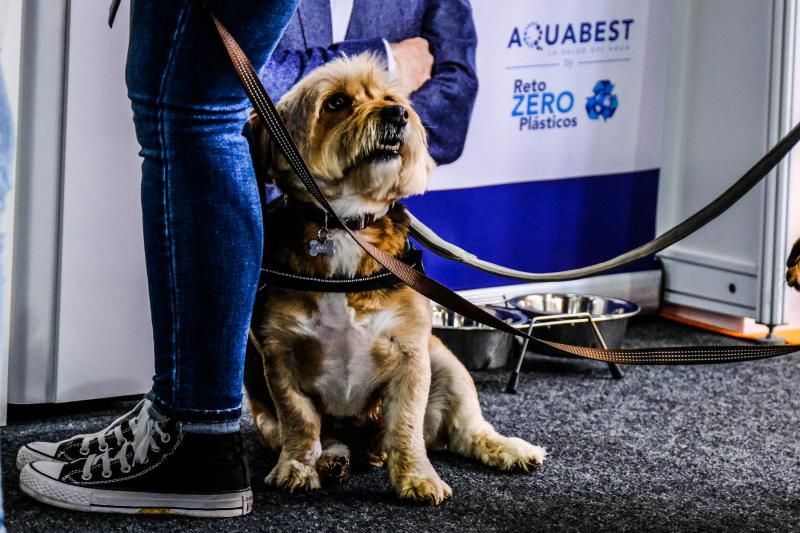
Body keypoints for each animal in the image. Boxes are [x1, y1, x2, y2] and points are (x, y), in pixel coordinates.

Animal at [244, 54, 544, 502]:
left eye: (391, 98)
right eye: (336, 102)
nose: (399, 114)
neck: (348, 225)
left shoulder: (411, 355)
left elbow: (405, 428)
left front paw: (418, 478)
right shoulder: (280, 356)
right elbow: (300, 421)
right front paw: (297, 467)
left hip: (448, 365)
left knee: (466, 431)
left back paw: (511, 449)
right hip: (265, 416)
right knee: (328, 436)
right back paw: (333, 458)